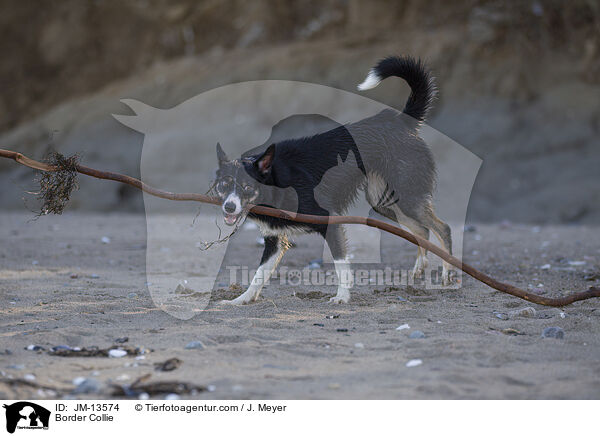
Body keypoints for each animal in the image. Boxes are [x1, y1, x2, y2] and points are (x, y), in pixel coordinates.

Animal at [213, 56, 452, 304]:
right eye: (223, 185)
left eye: (247, 186)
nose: (229, 207)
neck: (277, 182)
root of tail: (401, 121)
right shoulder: (274, 240)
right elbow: (258, 275)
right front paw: (241, 299)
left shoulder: (330, 222)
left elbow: (340, 265)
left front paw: (342, 297)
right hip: (385, 203)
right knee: (422, 231)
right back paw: (418, 270)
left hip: (406, 198)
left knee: (442, 229)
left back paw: (446, 273)